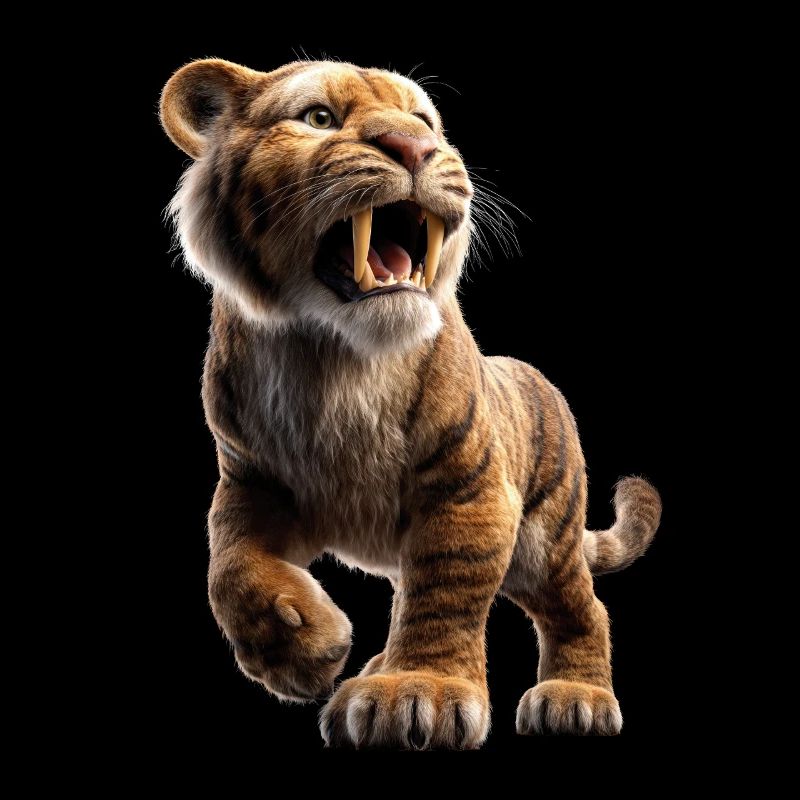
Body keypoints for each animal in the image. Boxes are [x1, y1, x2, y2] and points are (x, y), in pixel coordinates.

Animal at [160, 58, 661, 749]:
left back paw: (576, 699)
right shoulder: (249, 481)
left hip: (545, 540)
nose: (417, 148)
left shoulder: (469, 489)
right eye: (319, 117)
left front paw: (418, 691)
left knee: (582, 608)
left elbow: (446, 588)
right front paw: (302, 646)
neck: (334, 360)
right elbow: (230, 565)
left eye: (423, 121)